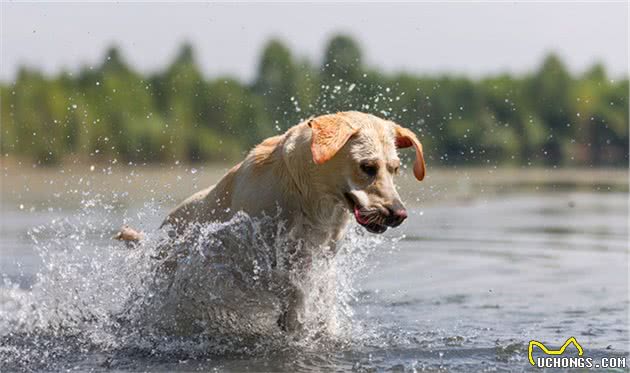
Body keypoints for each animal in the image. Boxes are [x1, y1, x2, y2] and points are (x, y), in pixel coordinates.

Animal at [116, 110, 428, 332]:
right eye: (367, 167)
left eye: (395, 169)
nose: (399, 214)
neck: (310, 198)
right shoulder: (247, 256)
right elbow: (288, 286)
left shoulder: (323, 258)